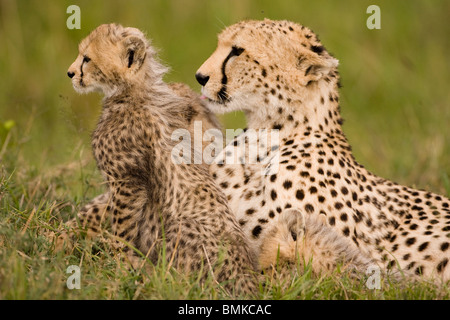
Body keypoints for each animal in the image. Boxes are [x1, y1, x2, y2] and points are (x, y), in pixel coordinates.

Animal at [65, 23, 258, 296]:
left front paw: (118, 261)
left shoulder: (126, 182)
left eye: (87, 58)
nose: (70, 73)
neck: (132, 92)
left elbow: (122, 227)